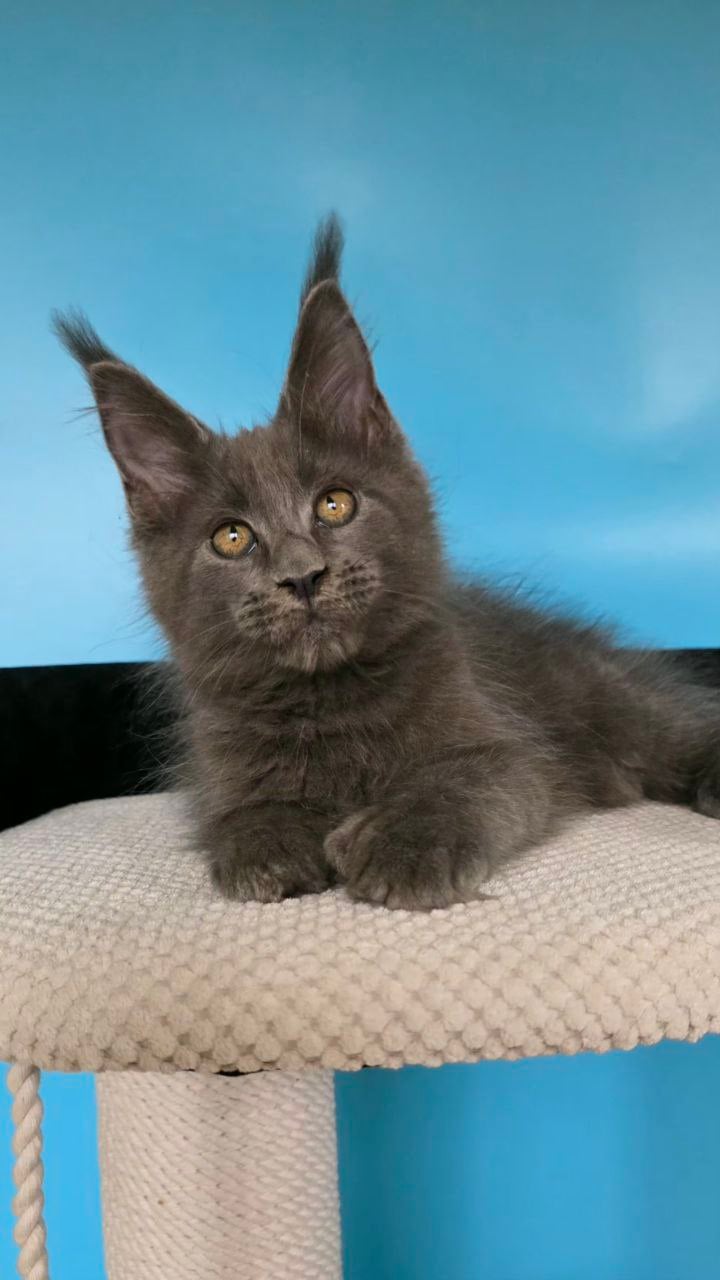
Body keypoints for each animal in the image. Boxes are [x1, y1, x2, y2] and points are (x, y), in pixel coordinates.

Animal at [54, 215, 720, 910]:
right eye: (231, 538)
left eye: (335, 503)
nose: (302, 575)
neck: (330, 698)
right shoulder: (218, 770)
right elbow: (240, 812)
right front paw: (270, 842)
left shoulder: (510, 748)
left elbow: (458, 782)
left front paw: (403, 845)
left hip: (613, 704)